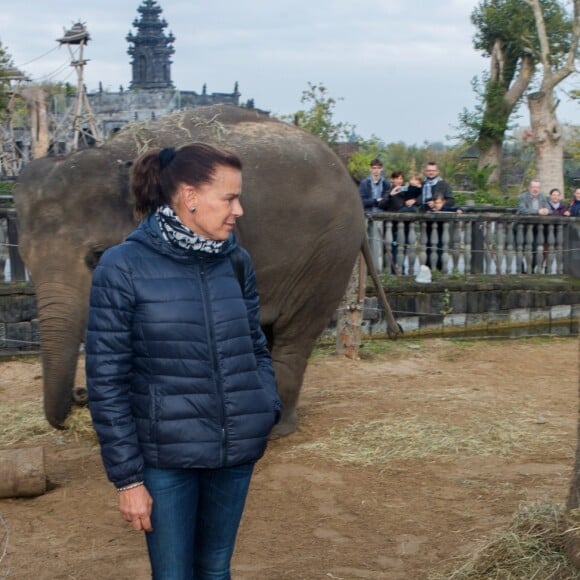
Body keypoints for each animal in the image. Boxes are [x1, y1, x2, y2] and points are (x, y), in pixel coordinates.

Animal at [15, 104, 374, 438]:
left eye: (97, 256)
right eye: (26, 261)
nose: (79, 395)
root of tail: (345, 171)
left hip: (329, 254)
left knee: (294, 336)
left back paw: (275, 429)